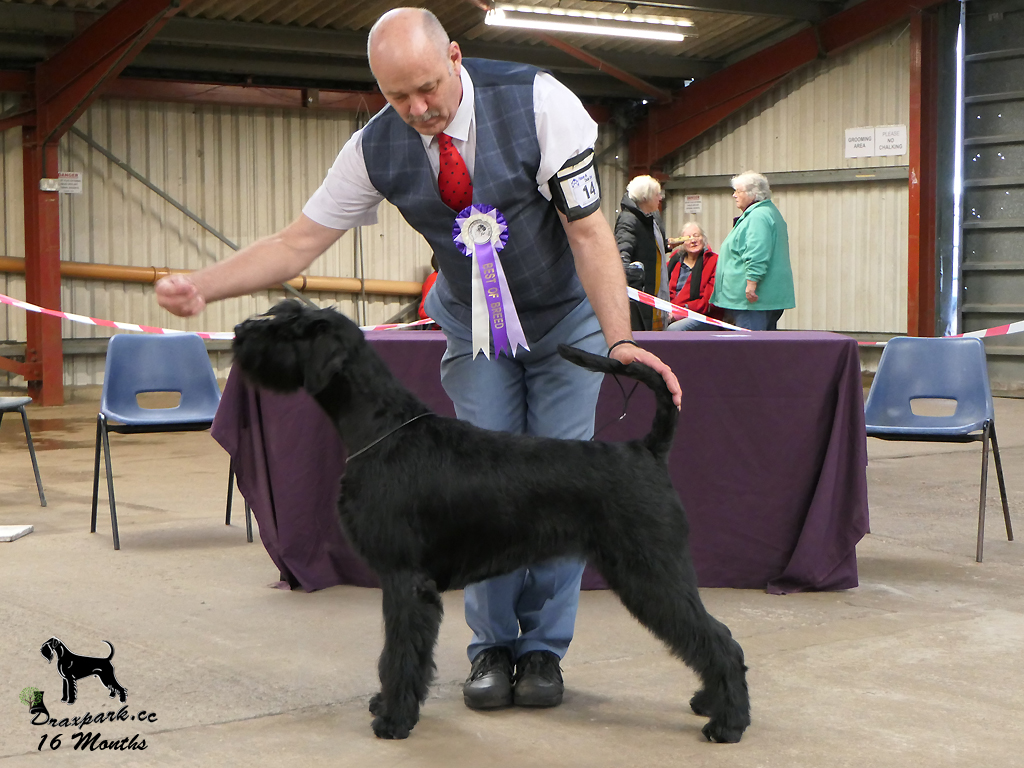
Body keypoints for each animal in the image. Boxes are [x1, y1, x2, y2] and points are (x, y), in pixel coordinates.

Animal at [232, 303, 749, 745]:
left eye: (288, 328)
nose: (239, 332)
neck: (380, 428)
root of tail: (646, 450)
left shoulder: (404, 580)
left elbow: (399, 653)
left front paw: (394, 719)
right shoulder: (405, 584)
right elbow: (401, 653)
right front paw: (387, 704)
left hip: (650, 572)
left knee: (717, 639)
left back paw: (728, 723)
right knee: (713, 636)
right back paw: (709, 702)